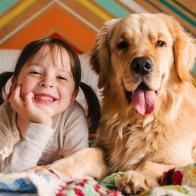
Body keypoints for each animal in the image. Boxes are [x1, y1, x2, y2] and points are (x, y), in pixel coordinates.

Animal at [46, 13, 196, 194]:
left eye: (160, 43)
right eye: (122, 44)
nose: (141, 65)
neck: (139, 123)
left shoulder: (183, 160)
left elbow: (151, 164)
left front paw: (137, 177)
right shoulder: (105, 150)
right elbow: (87, 152)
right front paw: (50, 168)